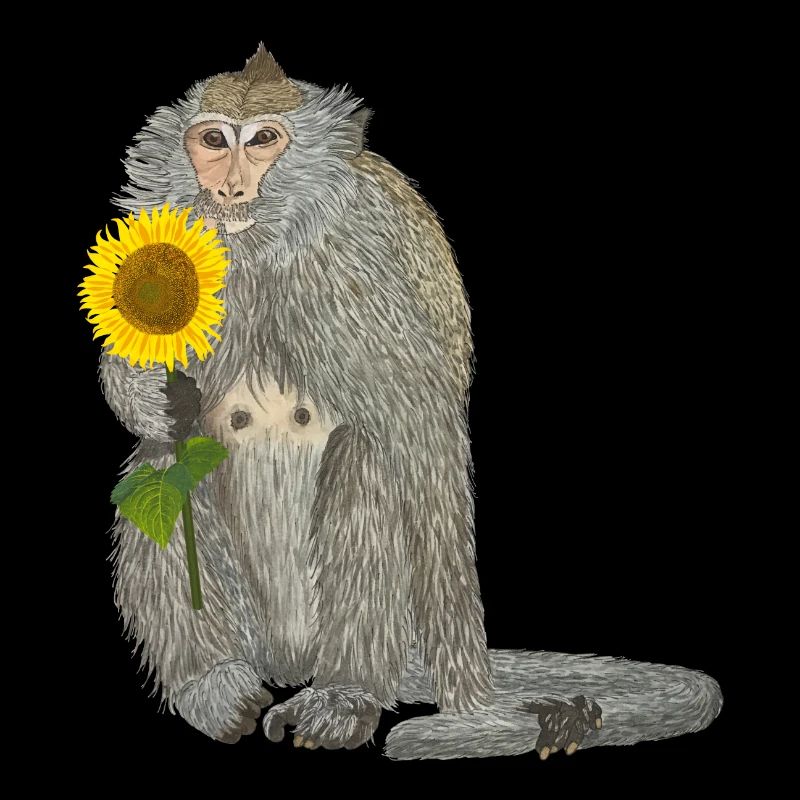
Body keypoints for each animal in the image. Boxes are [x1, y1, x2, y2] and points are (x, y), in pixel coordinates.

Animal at [99, 45, 722, 758]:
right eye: (211, 141)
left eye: (261, 141)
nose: (227, 189)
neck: (267, 246)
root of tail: (292, 658)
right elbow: (155, 402)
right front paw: (148, 397)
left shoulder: (352, 270)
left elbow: (420, 429)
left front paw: (478, 715)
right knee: (163, 462)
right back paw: (212, 681)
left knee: (368, 457)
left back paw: (347, 692)